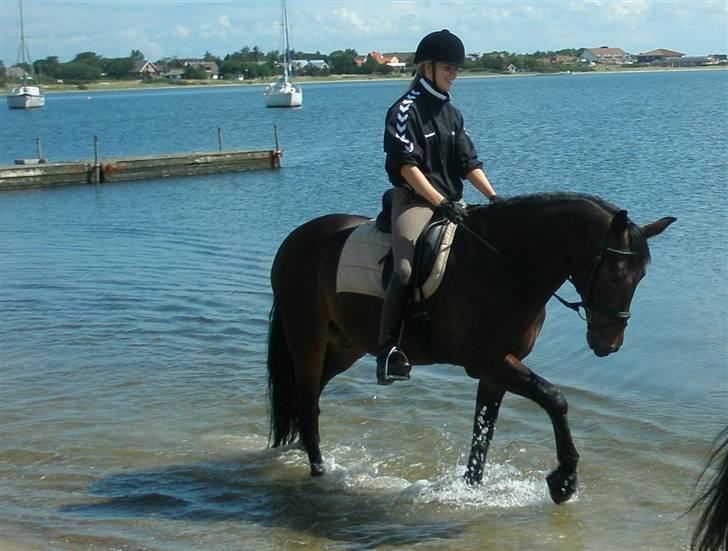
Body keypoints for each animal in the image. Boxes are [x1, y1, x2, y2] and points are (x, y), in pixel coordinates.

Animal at [268, 193, 676, 504]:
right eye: (615, 275)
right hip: (308, 337)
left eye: (640, 277)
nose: (609, 344)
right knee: (307, 398)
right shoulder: (488, 361)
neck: (505, 264)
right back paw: (319, 470)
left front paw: (470, 488)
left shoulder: (498, 368)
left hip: (344, 345)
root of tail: (294, 239)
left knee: (309, 397)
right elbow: (554, 399)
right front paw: (564, 480)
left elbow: (484, 430)